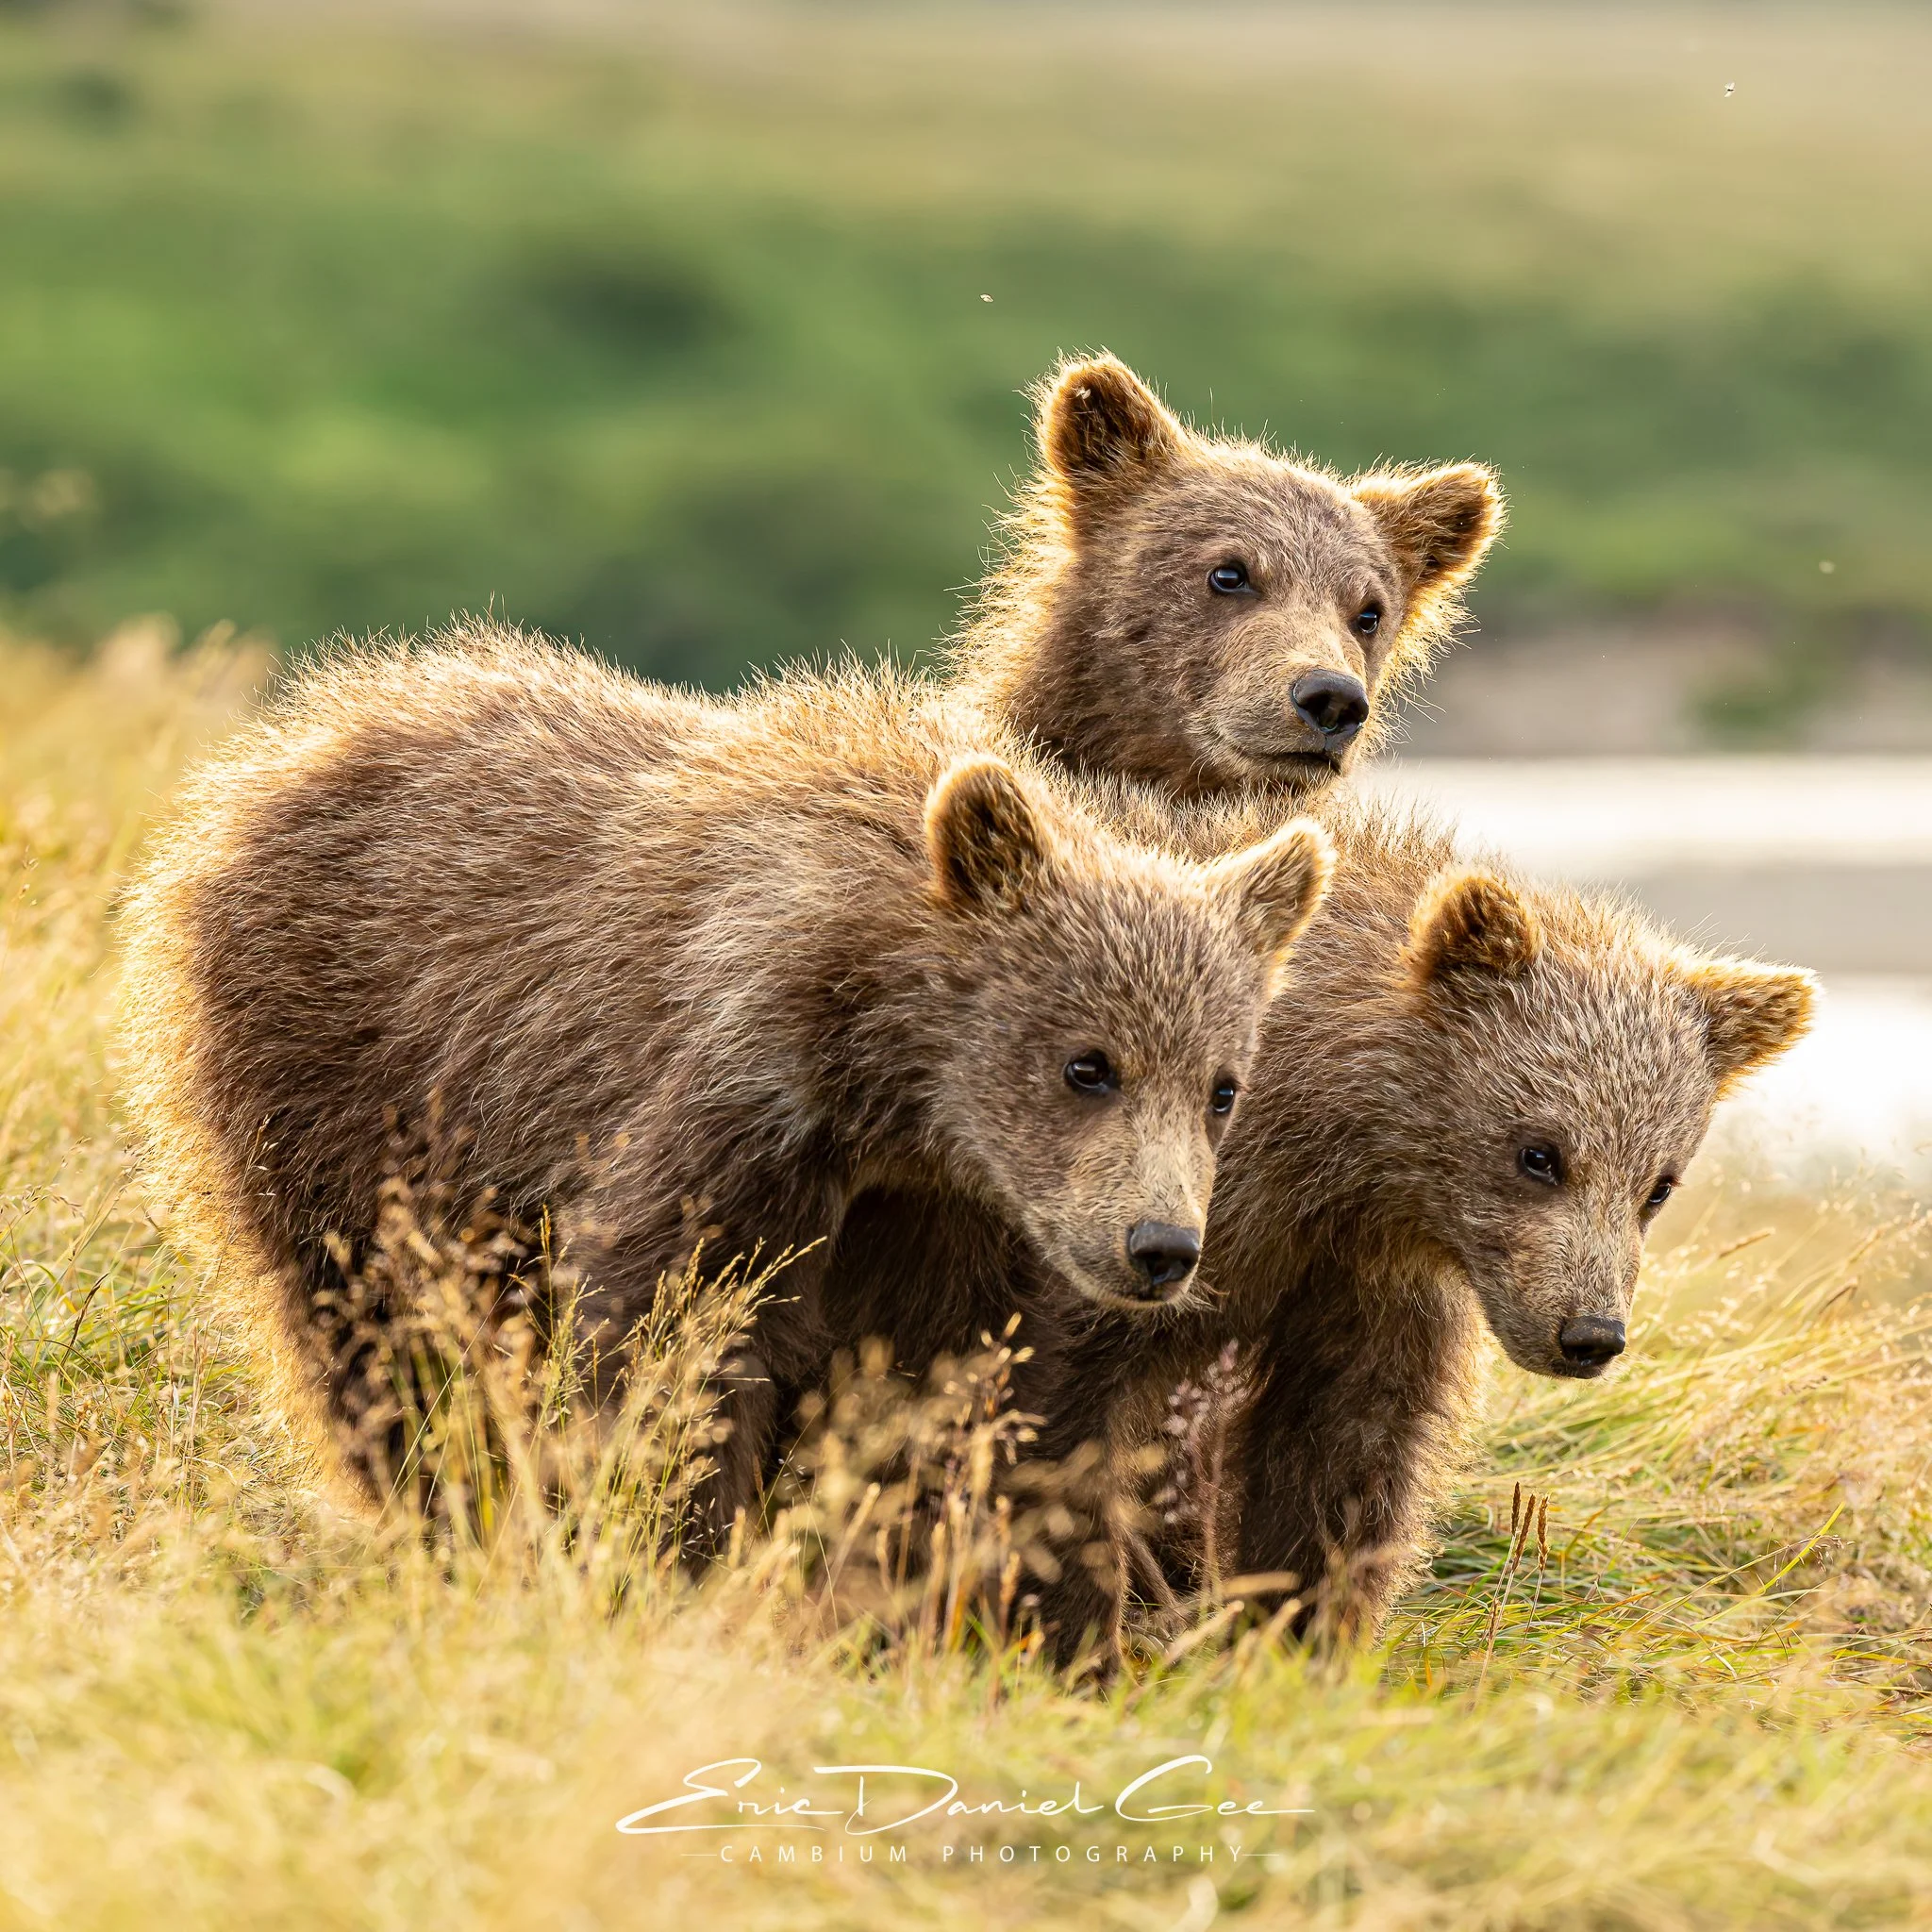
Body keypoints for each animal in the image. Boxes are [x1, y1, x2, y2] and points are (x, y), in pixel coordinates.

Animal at [117, 622, 1334, 1616]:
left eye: (1220, 1084)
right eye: (1088, 1063)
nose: (1160, 1246)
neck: (887, 1084)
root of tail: (302, 736)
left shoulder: (942, 1218)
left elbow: (924, 1390)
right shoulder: (729, 1117)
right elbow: (676, 1336)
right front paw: (679, 1552)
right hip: (354, 1081)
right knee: (381, 1325)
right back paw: (448, 1506)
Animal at [820, 790, 1814, 1646]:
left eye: (1659, 1184)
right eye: (1540, 1152)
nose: (1590, 1334)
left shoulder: (1361, 1280)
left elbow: (1345, 1460)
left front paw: (1298, 1635)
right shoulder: (1119, 1229)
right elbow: (1053, 1425)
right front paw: (1065, 1636)